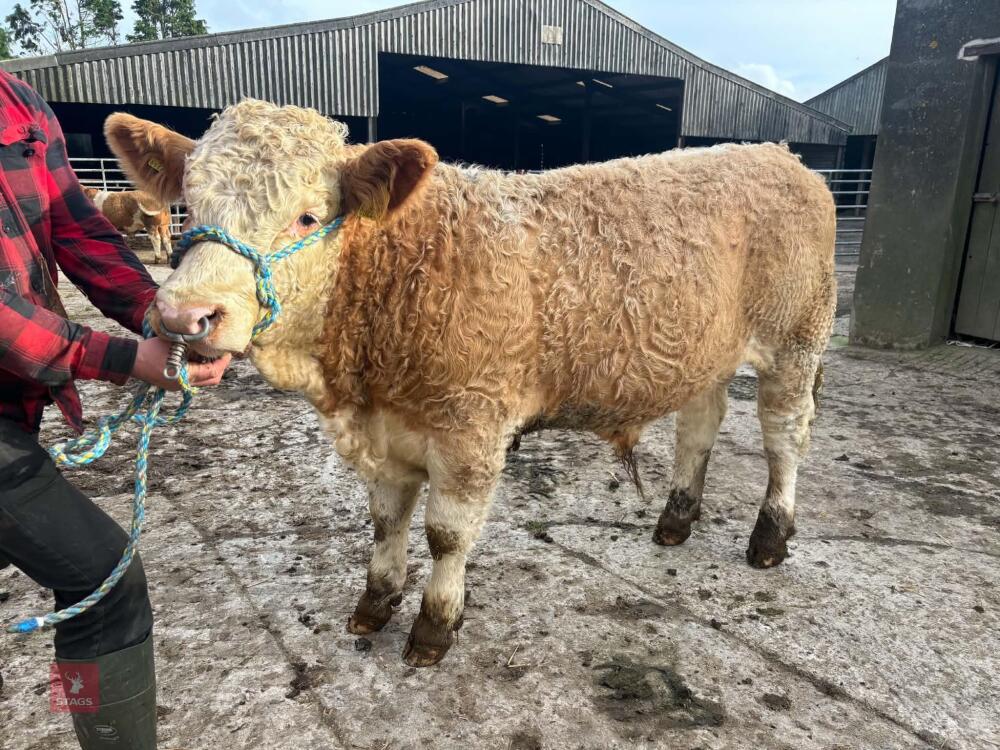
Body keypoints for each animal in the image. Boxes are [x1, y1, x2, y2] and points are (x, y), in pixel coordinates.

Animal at [104, 100, 836, 667]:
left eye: (308, 215)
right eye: (191, 203)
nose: (184, 316)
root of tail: (782, 157)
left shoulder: (470, 431)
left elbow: (446, 536)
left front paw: (434, 626)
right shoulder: (388, 434)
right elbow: (386, 520)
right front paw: (375, 603)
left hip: (796, 340)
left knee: (784, 437)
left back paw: (770, 536)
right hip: (706, 351)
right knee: (699, 428)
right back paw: (676, 518)